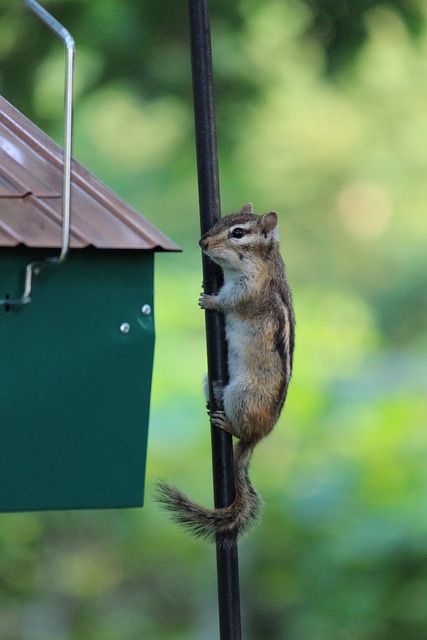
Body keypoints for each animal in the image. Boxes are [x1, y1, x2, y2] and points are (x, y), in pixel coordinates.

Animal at [155, 203, 295, 547]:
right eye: (220, 221)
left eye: (238, 233)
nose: (203, 243)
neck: (263, 260)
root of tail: (258, 439)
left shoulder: (249, 289)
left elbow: (231, 301)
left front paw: (210, 300)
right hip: (211, 381)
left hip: (242, 395)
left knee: (239, 428)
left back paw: (227, 423)